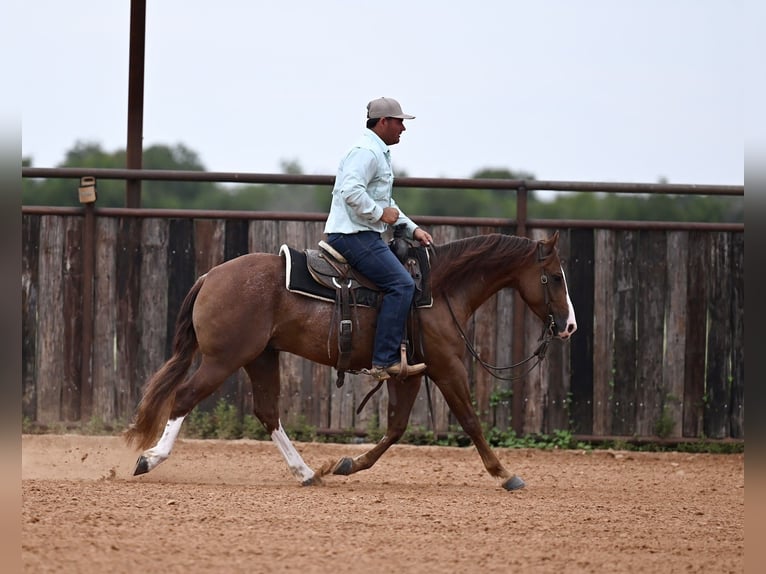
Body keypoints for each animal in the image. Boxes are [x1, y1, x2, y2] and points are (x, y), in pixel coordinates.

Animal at [124, 231, 577, 491]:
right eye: (555, 277)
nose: (569, 326)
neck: (438, 289)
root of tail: (211, 276)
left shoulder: (409, 374)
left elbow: (395, 428)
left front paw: (345, 465)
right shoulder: (447, 367)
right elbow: (470, 420)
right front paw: (504, 474)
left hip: (261, 358)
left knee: (268, 412)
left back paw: (307, 473)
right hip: (224, 359)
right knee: (185, 397)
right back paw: (149, 459)